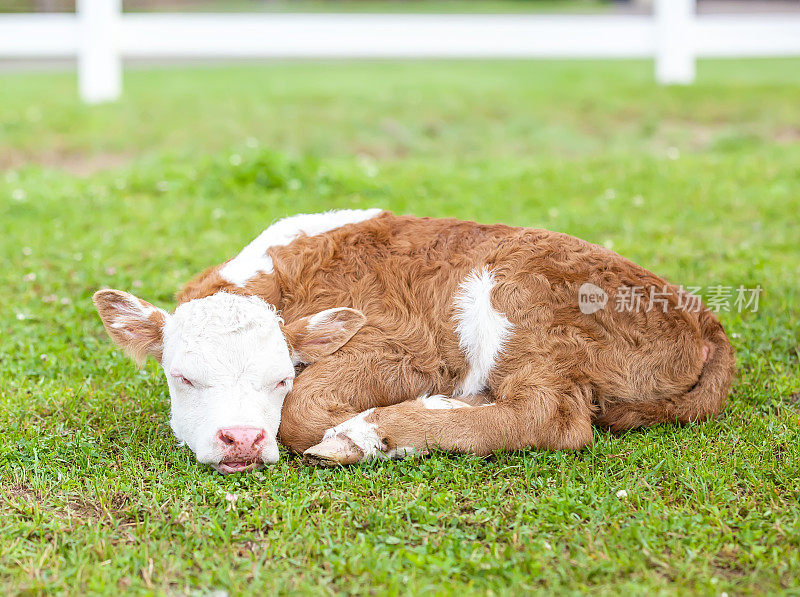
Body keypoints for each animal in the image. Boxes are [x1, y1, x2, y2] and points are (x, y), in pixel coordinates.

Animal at [90, 208, 736, 470]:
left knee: (552, 417)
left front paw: (353, 428)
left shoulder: (405, 347)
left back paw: (372, 432)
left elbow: (302, 411)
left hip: (522, 302)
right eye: (183, 377)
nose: (243, 440)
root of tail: (701, 315)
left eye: (278, 377)